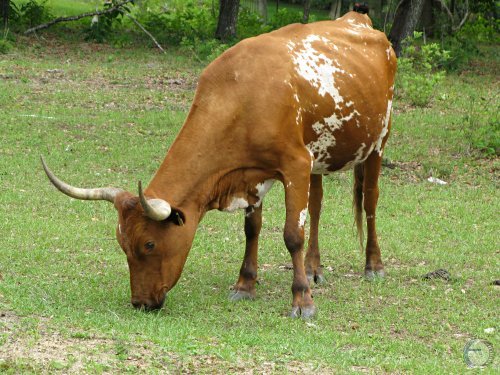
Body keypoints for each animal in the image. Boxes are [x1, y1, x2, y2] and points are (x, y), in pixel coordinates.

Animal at [41, 10, 396, 318]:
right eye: (122, 244)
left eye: (149, 243)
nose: (140, 303)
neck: (241, 96)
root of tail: (359, 19)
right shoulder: (254, 173)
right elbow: (252, 228)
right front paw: (245, 284)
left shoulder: (294, 165)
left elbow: (292, 234)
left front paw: (302, 300)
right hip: (321, 156)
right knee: (319, 205)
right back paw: (313, 267)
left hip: (378, 142)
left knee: (370, 202)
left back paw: (373, 266)